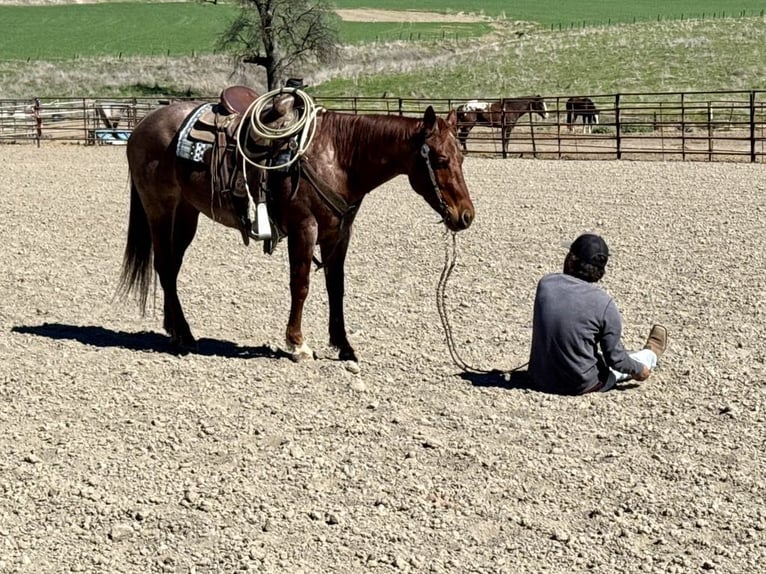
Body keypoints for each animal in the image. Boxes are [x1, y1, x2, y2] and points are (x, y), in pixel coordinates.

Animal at [118, 94, 474, 364]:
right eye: (440, 159)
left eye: (461, 156)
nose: (466, 216)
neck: (338, 156)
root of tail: (142, 126)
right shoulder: (305, 228)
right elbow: (300, 285)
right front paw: (298, 343)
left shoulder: (339, 234)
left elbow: (336, 287)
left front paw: (344, 346)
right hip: (159, 209)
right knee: (164, 265)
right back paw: (184, 333)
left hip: (186, 213)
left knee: (172, 266)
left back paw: (176, 330)